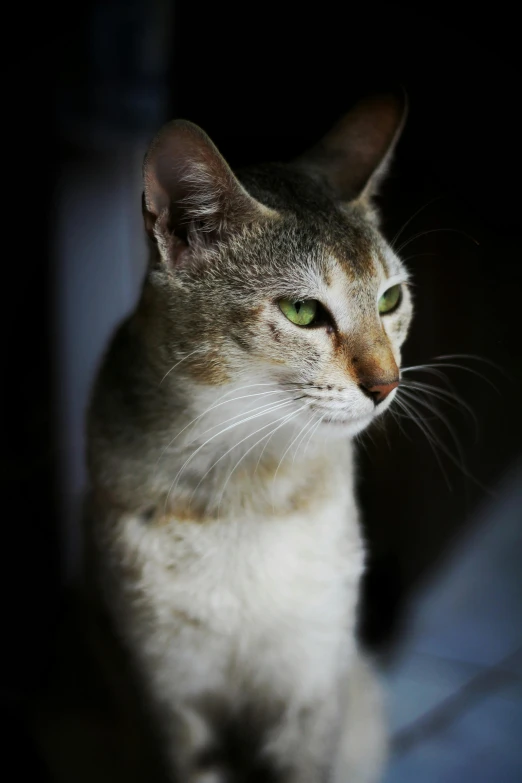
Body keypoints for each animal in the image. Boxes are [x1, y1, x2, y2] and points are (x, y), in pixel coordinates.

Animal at [85, 93, 410, 783]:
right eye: (303, 312)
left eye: (391, 299)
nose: (387, 383)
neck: (246, 485)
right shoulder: (170, 696)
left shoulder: (314, 687)